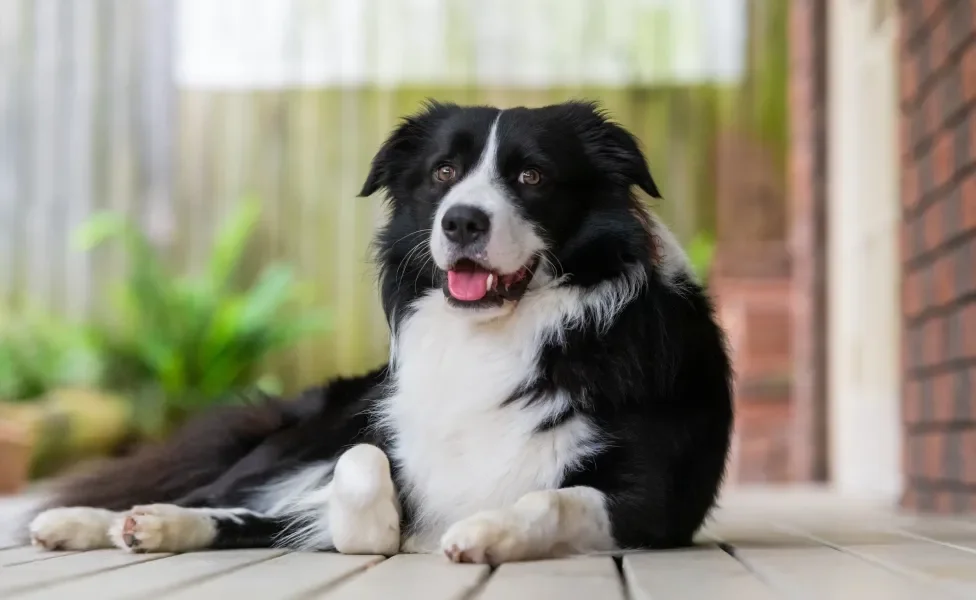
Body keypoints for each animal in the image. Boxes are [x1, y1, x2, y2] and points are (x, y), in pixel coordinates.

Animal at [21, 101, 732, 564]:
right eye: (443, 173)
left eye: (532, 176)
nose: (462, 222)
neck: (497, 335)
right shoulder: (374, 440)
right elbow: (363, 467)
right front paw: (374, 529)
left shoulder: (653, 504)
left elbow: (550, 501)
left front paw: (485, 531)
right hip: (303, 435)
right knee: (214, 495)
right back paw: (90, 521)